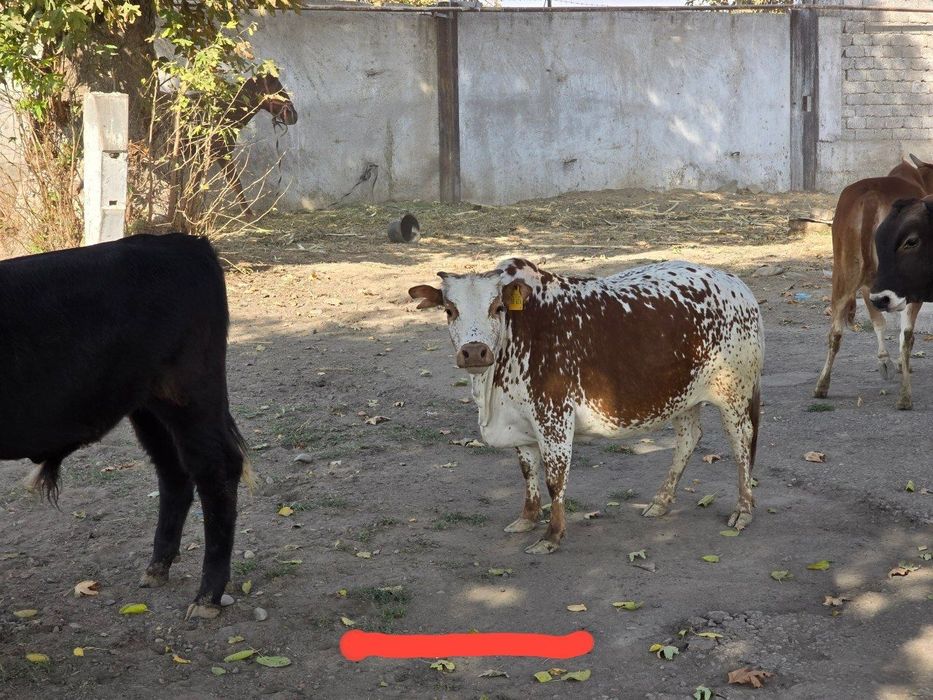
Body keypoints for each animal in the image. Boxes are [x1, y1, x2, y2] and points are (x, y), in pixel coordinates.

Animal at [0, 233, 248, 619]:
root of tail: (184, 242)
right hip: (147, 406)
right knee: (174, 471)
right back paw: (157, 567)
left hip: (189, 396)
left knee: (216, 470)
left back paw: (207, 596)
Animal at [409, 259, 764, 554]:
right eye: (449, 310)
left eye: (497, 307)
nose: (474, 352)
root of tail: (737, 285)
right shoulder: (521, 424)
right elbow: (528, 472)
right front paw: (527, 519)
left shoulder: (553, 420)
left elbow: (554, 479)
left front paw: (551, 536)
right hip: (682, 397)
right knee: (689, 438)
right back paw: (661, 502)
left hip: (735, 395)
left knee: (742, 444)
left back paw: (743, 510)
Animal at [814, 155, 933, 410]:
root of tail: (870, 198)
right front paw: (897, 364)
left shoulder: (873, 286)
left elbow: (878, 322)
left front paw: (884, 361)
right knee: (906, 336)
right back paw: (905, 396)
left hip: (844, 273)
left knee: (835, 331)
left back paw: (822, 385)